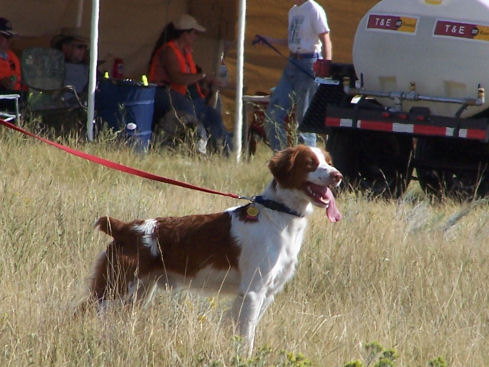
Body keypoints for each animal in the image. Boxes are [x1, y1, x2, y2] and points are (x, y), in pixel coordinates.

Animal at [84, 145, 342, 356]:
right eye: (310, 163)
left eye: (328, 161)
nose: (337, 175)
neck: (278, 215)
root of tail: (123, 227)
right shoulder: (253, 291)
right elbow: (246, 337)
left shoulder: (267, 293)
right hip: (114, 290)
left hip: (137, 294)